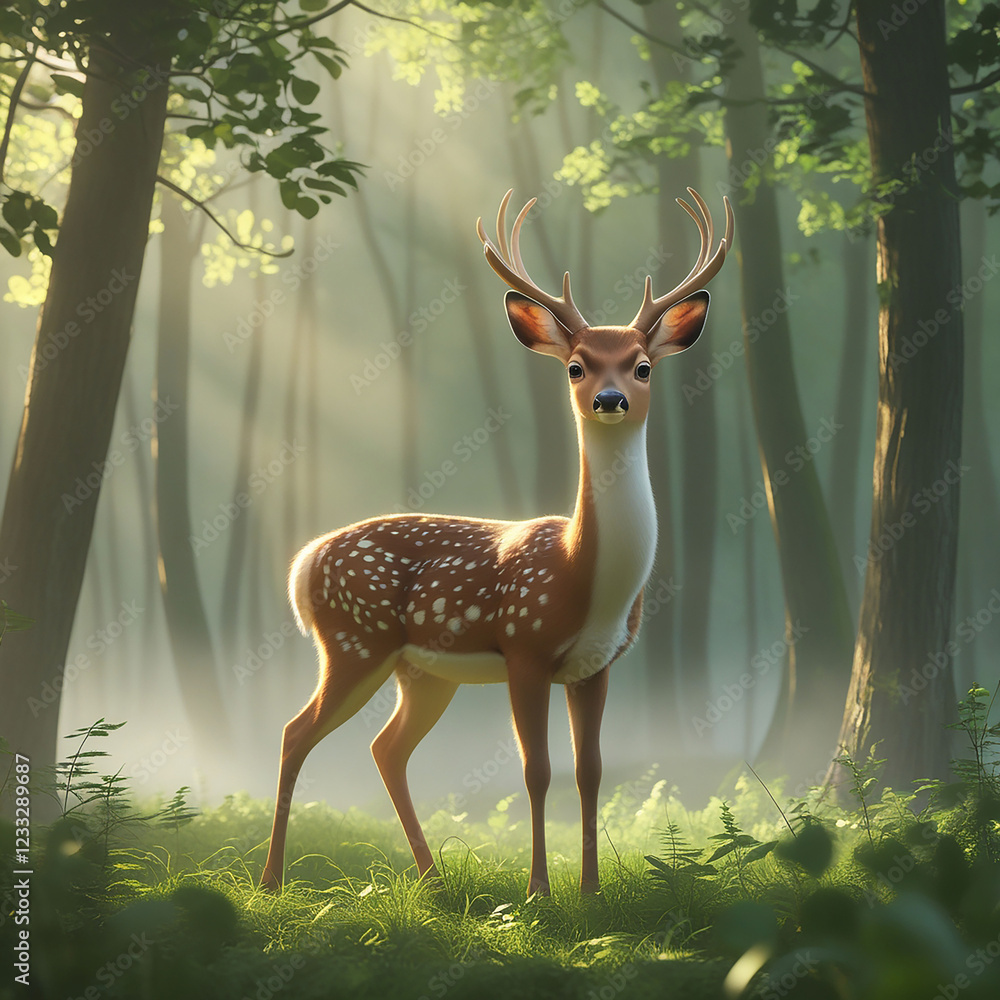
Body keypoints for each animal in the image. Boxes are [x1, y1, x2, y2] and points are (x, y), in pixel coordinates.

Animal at [260, 188, 733, 896]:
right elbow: (537, 771)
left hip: (422, 671)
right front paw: (539, 892)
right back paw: (270, 882)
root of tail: (301, 564)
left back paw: (432, 880)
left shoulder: (597, 666)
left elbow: (590, 771)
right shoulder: (524, 647)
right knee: (295, 732)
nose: (612, 399)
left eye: (644, 366)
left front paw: (590, 891)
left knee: (385, 748)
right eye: (576, 366)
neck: (582, 575)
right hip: (353, 640)